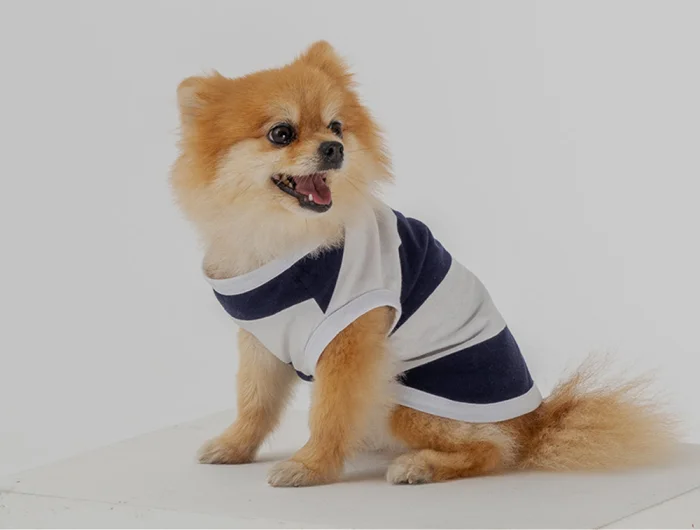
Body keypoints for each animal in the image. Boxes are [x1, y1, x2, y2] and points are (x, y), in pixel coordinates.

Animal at [171, 41, 675, 487]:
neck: (286, 241)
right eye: (282, 133)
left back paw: (421, 465)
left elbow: (329, 413)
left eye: (336, 125)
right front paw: (234, 446)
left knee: (494, 450)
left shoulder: (349, 343)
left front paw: (310, 466)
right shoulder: (262, 337)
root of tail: (533, 421)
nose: (334, 147)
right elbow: (254, 401)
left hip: (408, 397)